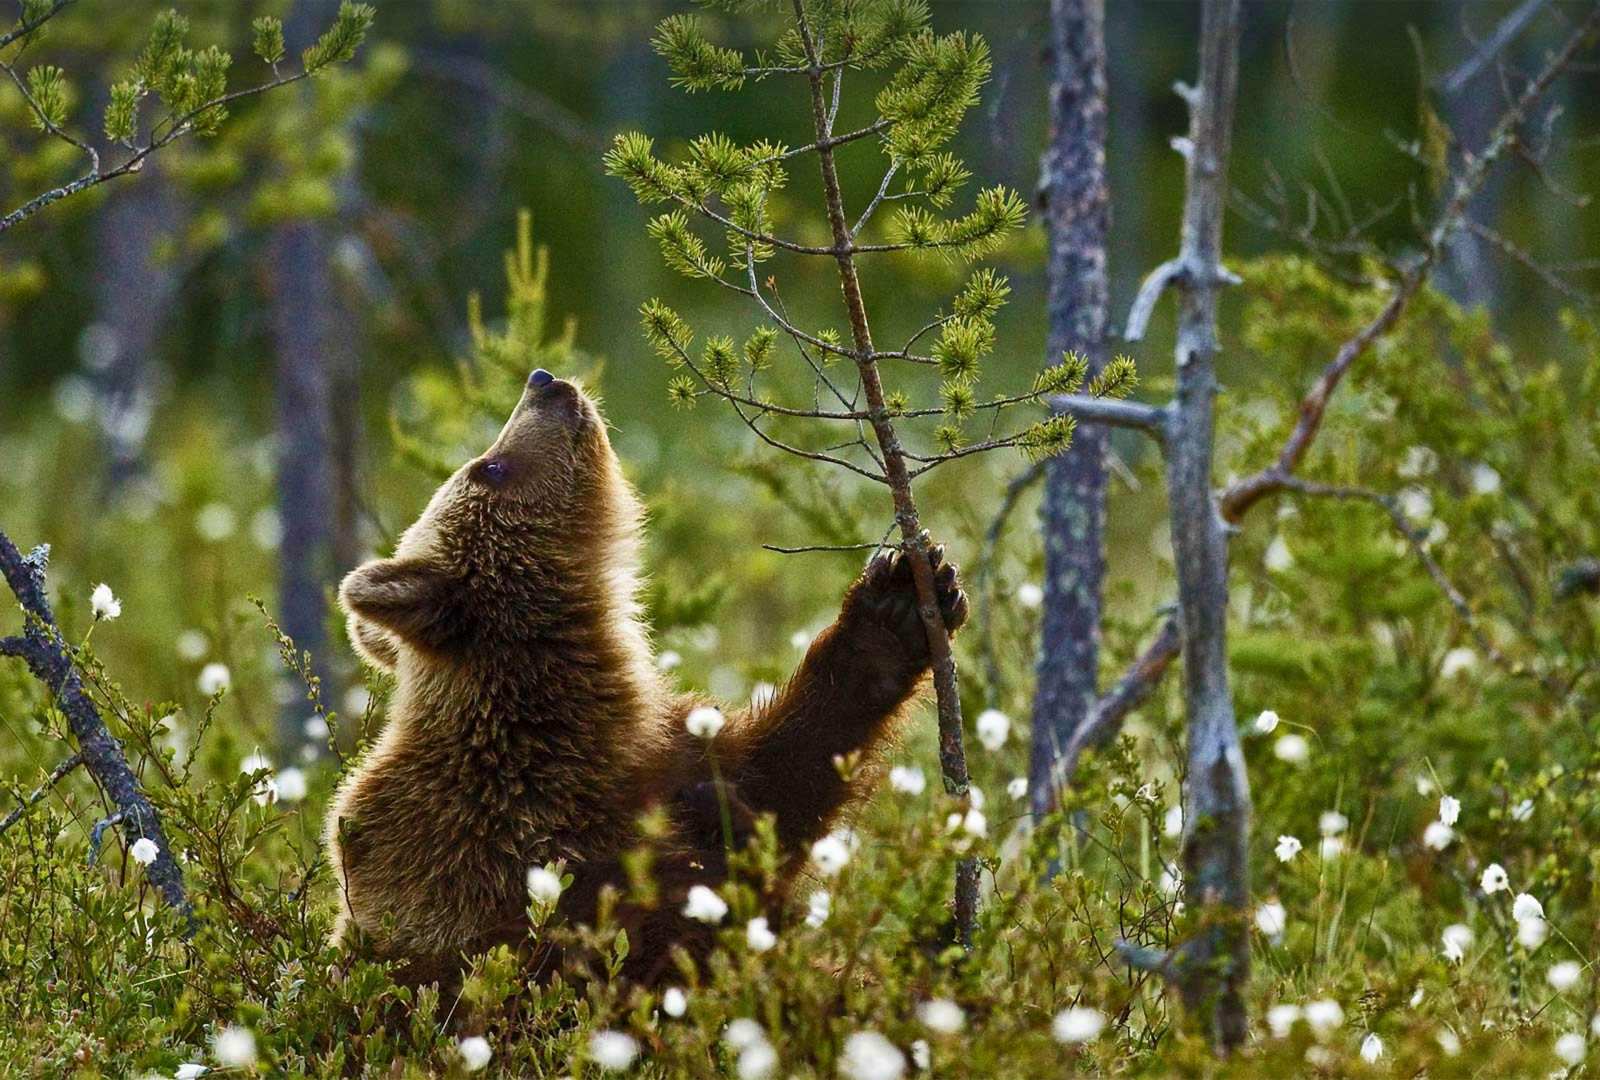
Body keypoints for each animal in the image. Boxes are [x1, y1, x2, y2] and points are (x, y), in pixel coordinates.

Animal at [326, 367, 967, 986]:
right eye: (489, 468)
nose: (544, 381)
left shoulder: (667, 753)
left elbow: (791, 769)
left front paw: (899, 601)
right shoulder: (502, 843)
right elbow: (633, 935)